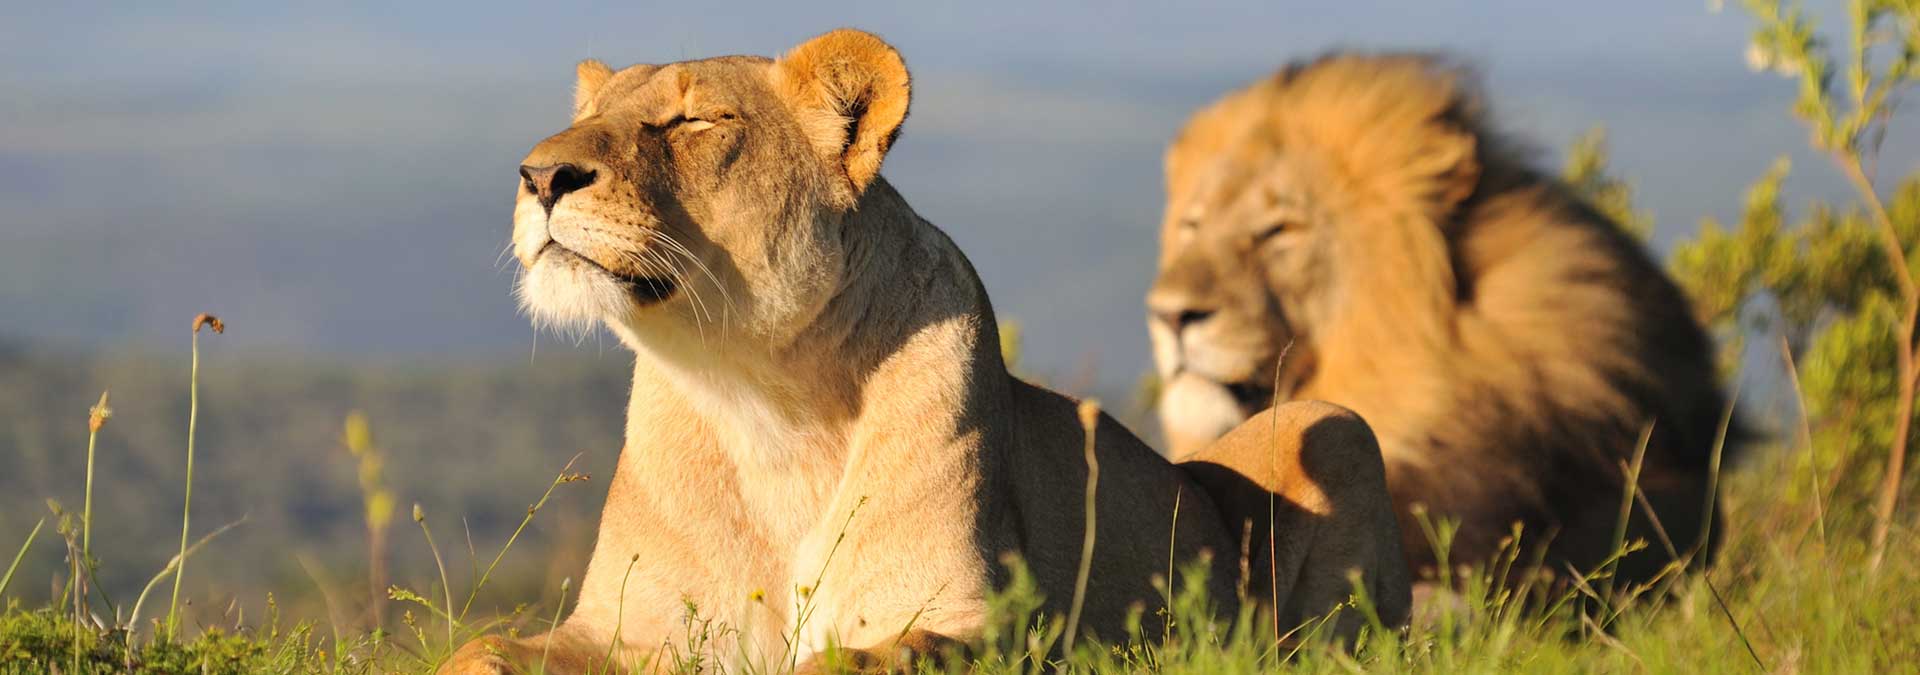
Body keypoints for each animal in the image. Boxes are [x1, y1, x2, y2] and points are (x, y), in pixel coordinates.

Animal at [441, 30, 1409, 674]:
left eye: (691, 120)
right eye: (588, 116)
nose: (539, 177)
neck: (763, 397)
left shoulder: (979, 618)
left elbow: (865, 658)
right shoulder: (621, 629)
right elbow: (481, 649)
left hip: (1333, 426)